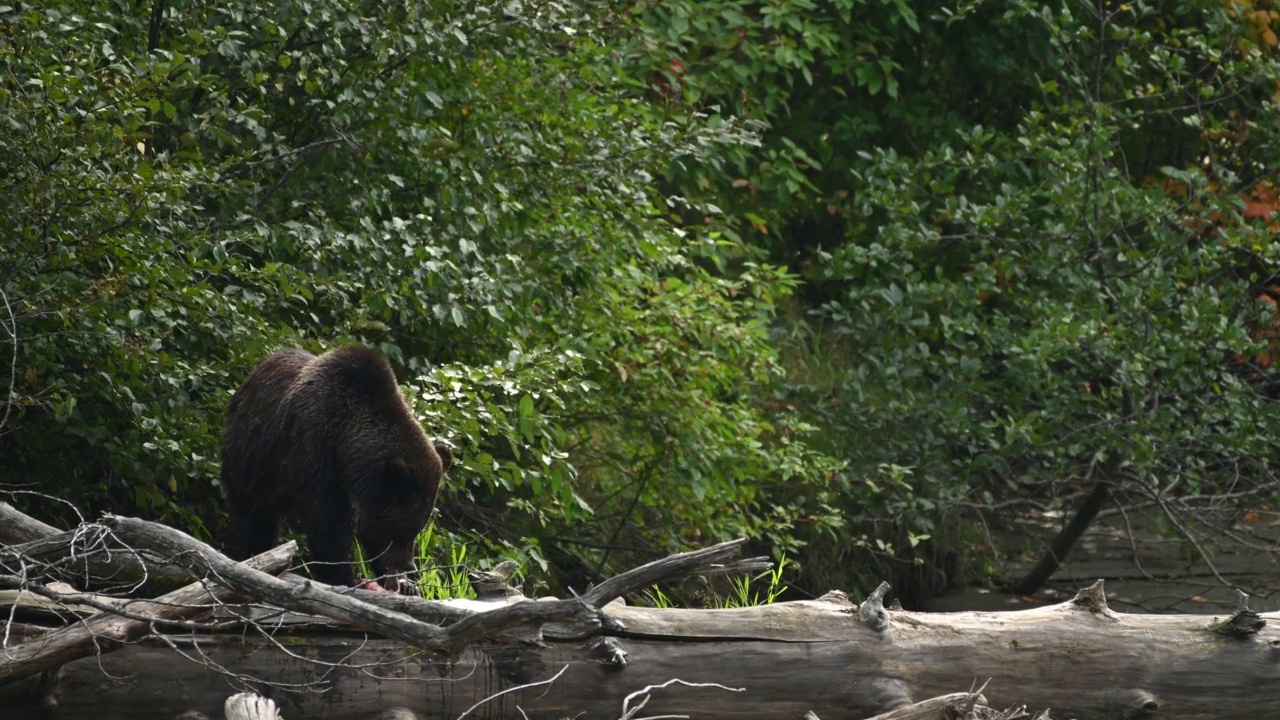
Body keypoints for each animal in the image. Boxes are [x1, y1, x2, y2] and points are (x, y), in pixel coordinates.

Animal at [222, 345, 453, 589]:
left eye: (416, 530)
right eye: (400, 531)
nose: (409, 569)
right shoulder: (313, 447)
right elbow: (328, 521)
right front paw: (342, 575)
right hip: (252, 458)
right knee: (253, 513)